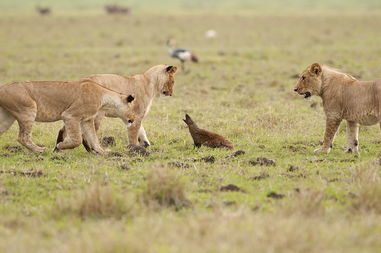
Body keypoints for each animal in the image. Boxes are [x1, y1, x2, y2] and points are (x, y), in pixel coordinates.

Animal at [0, 79, 136, 154]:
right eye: (133, 108)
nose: (134, 119)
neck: (105, 98)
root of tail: (2, 87)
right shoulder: (70, 115)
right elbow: (77, 139)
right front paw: (60, 146)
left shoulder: (87, 120)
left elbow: (93, 138)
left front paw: (102, 152)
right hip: (28, 110)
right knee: (23, 137)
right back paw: (40, 150)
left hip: (6, 118)